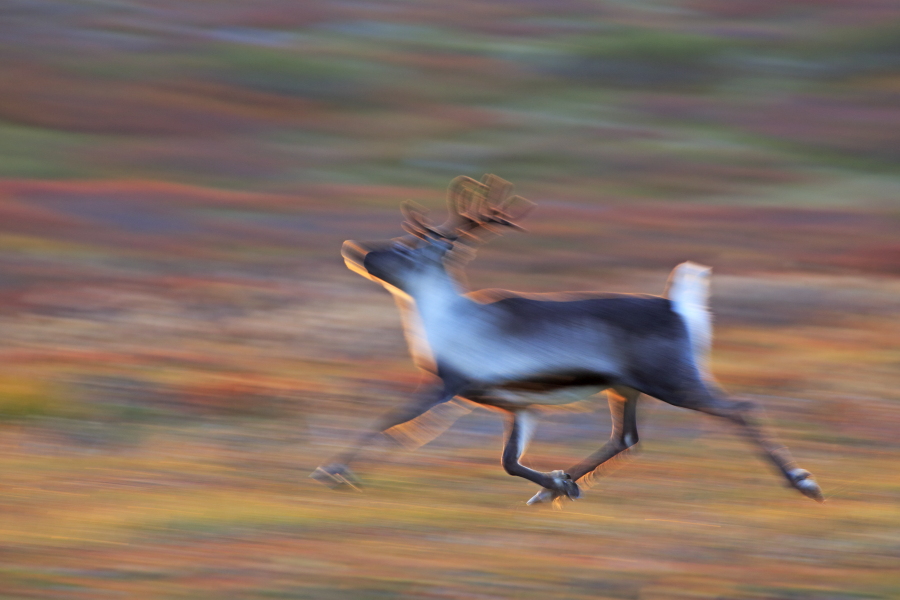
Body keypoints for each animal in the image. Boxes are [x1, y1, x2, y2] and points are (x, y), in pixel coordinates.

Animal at [312, 174, 824, 505]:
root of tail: (678, 307)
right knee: (627, 438)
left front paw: (333, 471)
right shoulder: (518, 405)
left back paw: (802, 482)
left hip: (672, 378)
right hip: (625, 387)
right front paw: (556, 483)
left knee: (740, 408)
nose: (356, 250)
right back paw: (553, 490)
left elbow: (388, 421)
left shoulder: (447, 385)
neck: (442, 316)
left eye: (407, 250)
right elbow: (509, 462)